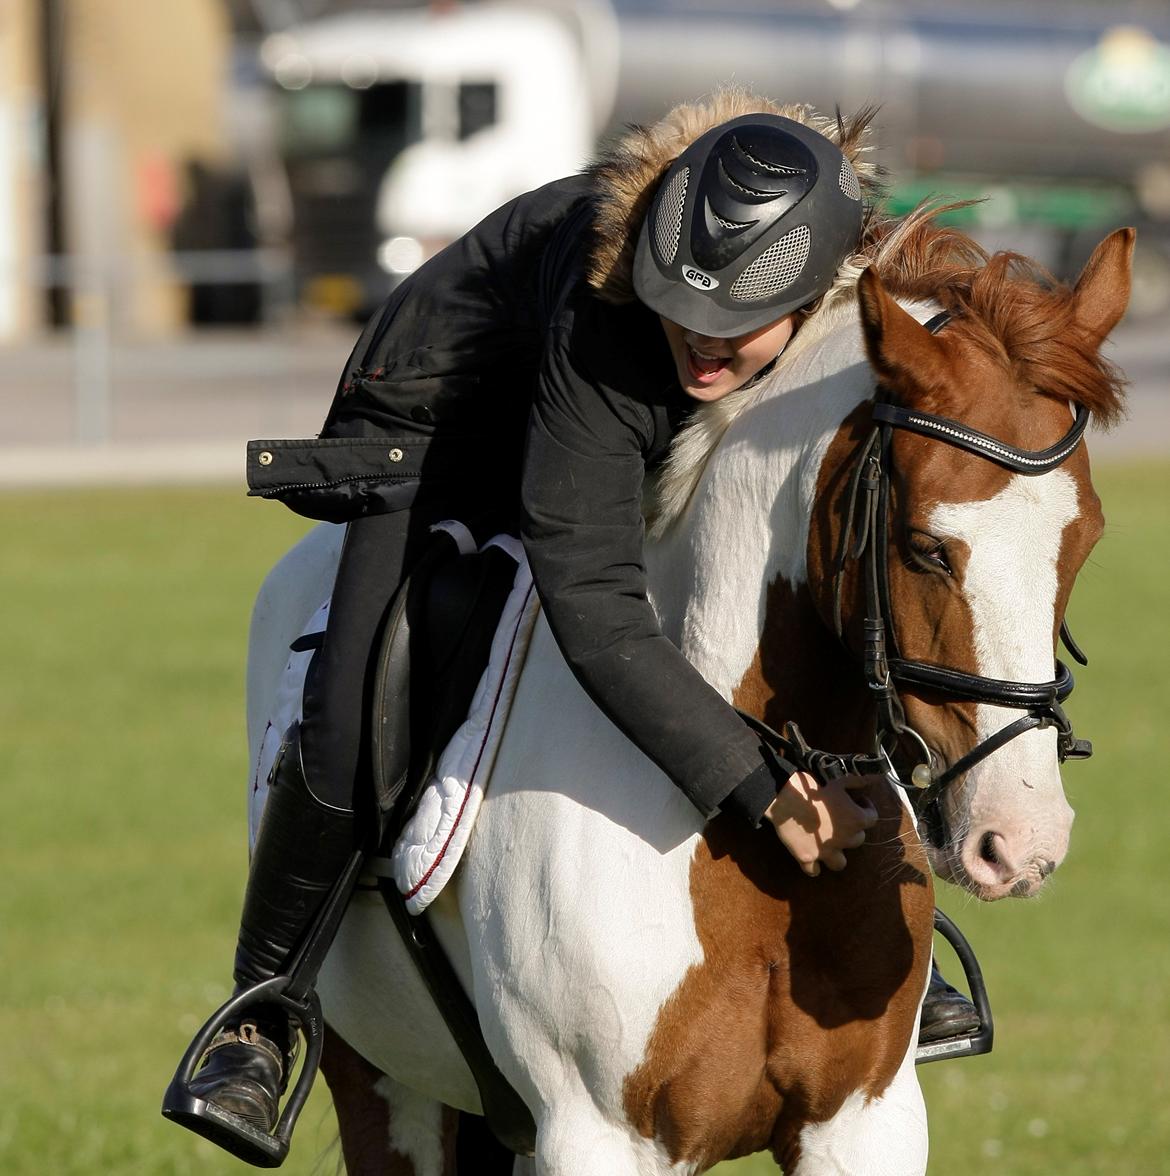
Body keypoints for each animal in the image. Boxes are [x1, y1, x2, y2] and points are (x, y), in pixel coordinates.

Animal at [243, 217, 1131, 1175]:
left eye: (1085, 542)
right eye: (926, 547)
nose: (1022, 842)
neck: (748, 830)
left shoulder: (864, 1122)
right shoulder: (598, 1134)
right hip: (384, 1083)